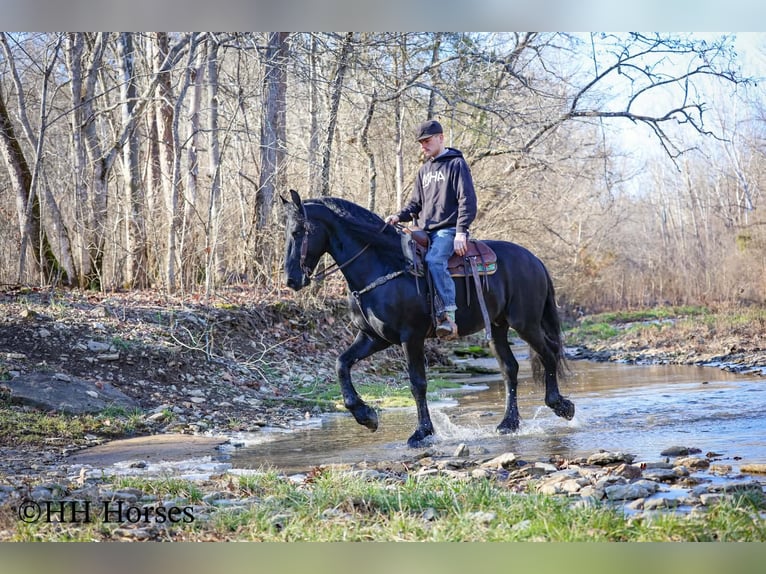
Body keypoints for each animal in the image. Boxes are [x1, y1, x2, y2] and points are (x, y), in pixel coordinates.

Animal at [281, 189, 574, 448]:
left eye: (298, 232)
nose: (291, 280)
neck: (384, 264)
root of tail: (534, 259)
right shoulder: (373, 337)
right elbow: (341, 364)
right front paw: (367, 417)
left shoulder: (411, 337)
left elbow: (417, 383)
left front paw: (422, 433)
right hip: (498, 327)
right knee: (510, 368)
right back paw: (509, 423)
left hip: (525, 323)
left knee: (548, 353)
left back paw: (561, 406)